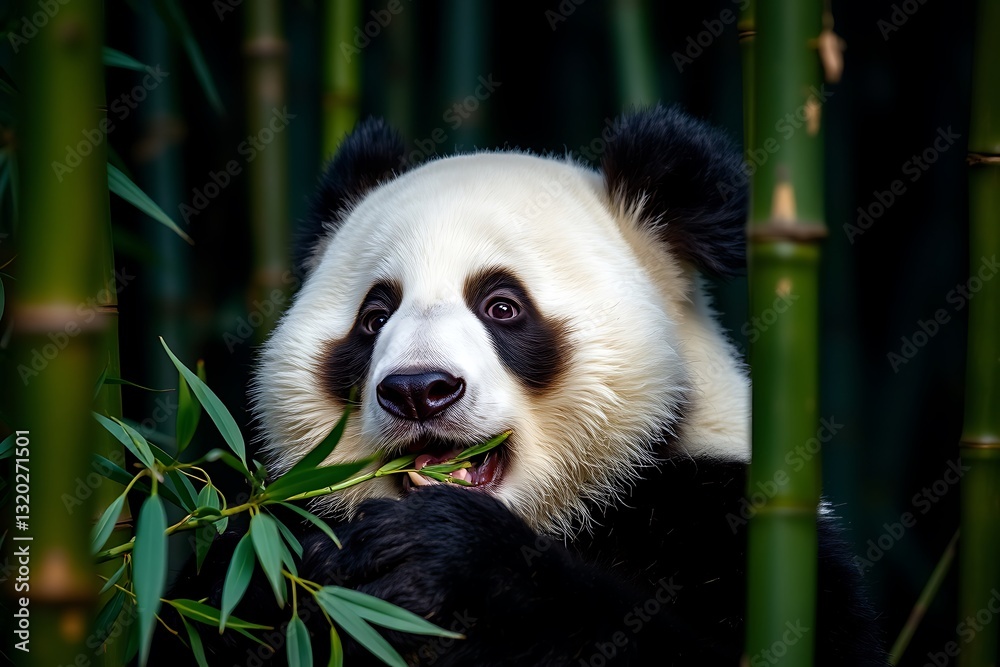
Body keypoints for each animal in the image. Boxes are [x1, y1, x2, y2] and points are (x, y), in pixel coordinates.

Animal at [170, 107, 886, 666]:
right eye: (375, 317)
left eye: (502, 306)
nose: (419, 389)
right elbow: (229, 592)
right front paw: (278, 584)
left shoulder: (724, 513)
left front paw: (440, 558)